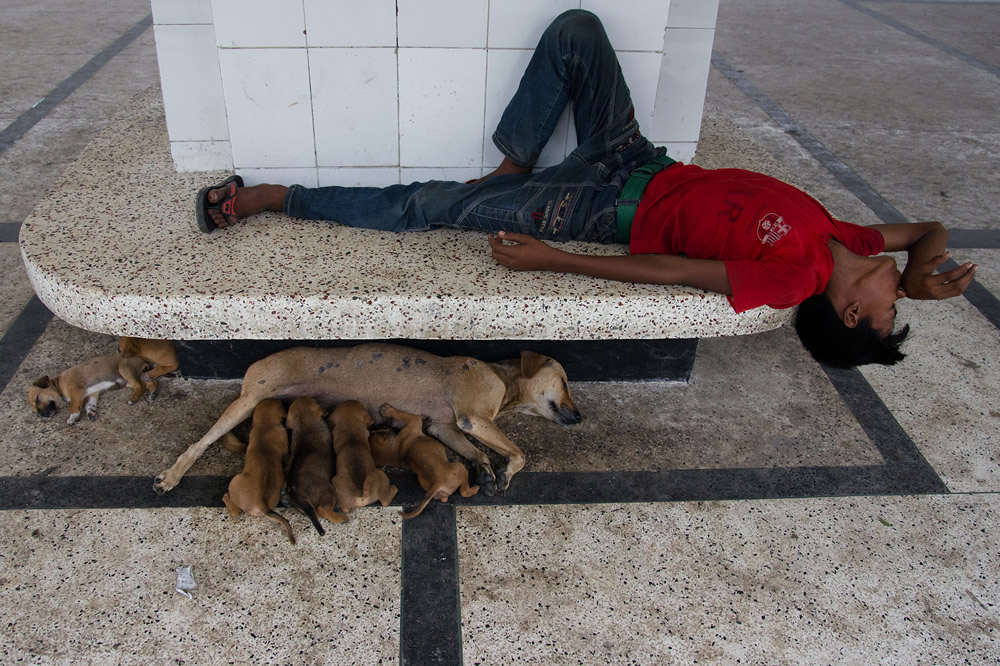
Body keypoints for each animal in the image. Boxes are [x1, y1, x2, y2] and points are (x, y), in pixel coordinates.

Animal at [152, 342, 584, 492]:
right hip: (246, 401)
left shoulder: (446, 426)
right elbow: (519, 453)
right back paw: (172, 474)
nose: (579, 418)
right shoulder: (473, 419)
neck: (505, 379)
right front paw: (505, 469)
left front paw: (484, 468)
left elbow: (475, 452)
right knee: (199, 443)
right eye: (565, 381)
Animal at [222, 396, 294, 544]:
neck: (265, 424)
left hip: (235, 480)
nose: (284, 400)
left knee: (235, 512)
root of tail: (263, 504)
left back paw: (226, 497)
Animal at [286, 394, 348, 536]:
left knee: (317, 513)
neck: (304, 423)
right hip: (328, 490)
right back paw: (341, 518)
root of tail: (295, 492)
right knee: (322, 509)